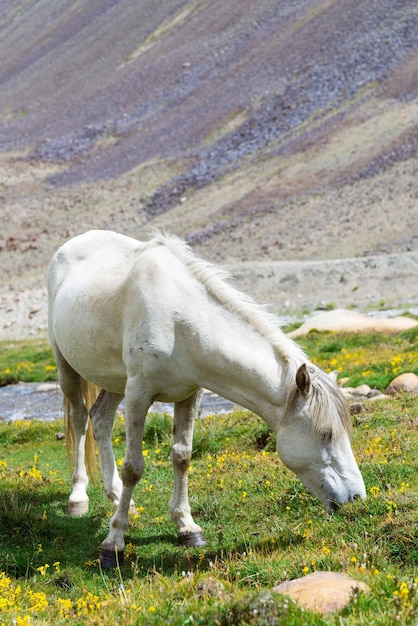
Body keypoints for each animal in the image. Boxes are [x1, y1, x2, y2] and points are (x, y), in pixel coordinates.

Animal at [47, 229, 364, 564]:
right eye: (326, 434)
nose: (357, 496)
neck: (179, 320)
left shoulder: (190, 394)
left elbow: (182, 456)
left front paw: (187, 527)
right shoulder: (138, 394)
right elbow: (133, 467)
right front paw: (113, 543)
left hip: (114, 381)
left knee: (101, 420)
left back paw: (119, 497)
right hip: (67, 367)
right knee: (80, 420)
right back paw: (78, 497)